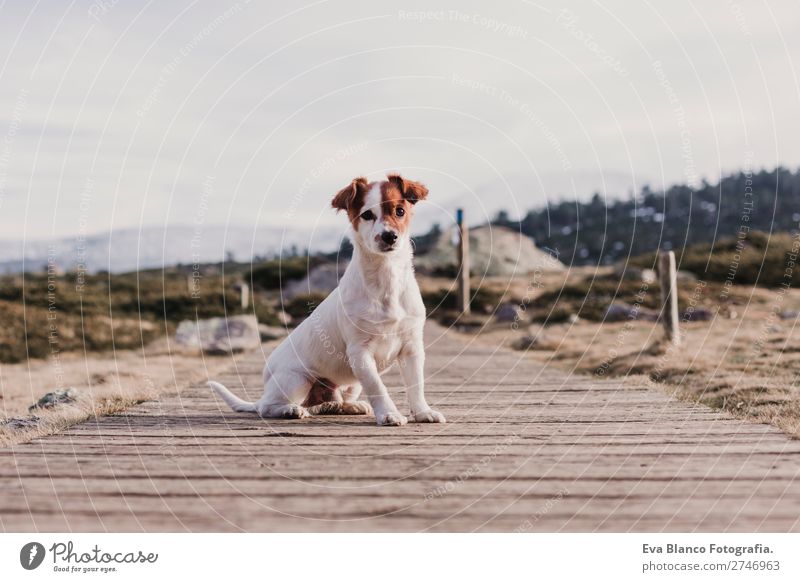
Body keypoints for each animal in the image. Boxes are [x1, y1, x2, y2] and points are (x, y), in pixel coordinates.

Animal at [209, 176, 446, 426]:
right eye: (367, 215)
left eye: (400, 211)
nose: (389, 236)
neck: (386, 279)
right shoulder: (360, 352)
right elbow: (377, 386)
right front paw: (389, 414)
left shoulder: (412, 348)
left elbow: (416, 385)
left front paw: (423, 412)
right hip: (297, 380)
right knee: (268, 407)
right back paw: (290, 410)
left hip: (350, 384)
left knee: (331, 402)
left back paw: (350, 406)